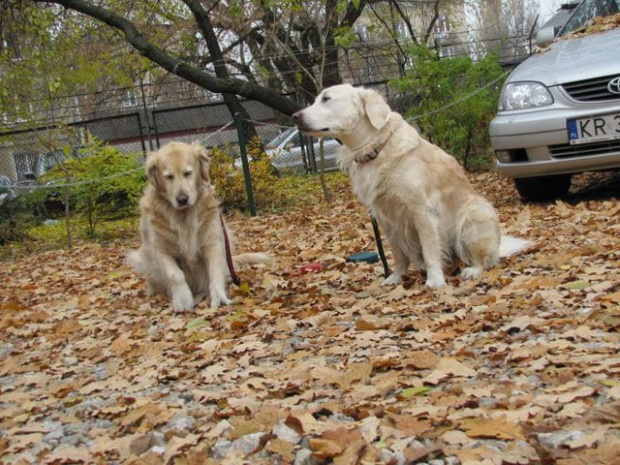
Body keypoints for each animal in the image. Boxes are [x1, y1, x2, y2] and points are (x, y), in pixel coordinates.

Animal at [126, 140, 268, 310]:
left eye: (188, 173)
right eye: (169, 177)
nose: (182, 199)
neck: (184, 216)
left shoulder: (213, 242)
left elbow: (214, 271)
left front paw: (218, 297)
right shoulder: (160, 250)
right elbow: (176, 275)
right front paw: (183, 299)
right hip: (143, 259)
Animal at [294, 83, 532, 286]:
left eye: (326, 99)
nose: (295, 116)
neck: (375, 148)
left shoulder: (421, 211)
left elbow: (429, 250)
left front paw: (435, 280)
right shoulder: (385, 218)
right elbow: (398, 254)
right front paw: (396, 277)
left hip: (475, 217)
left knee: (485, 260)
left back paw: (472, 270)